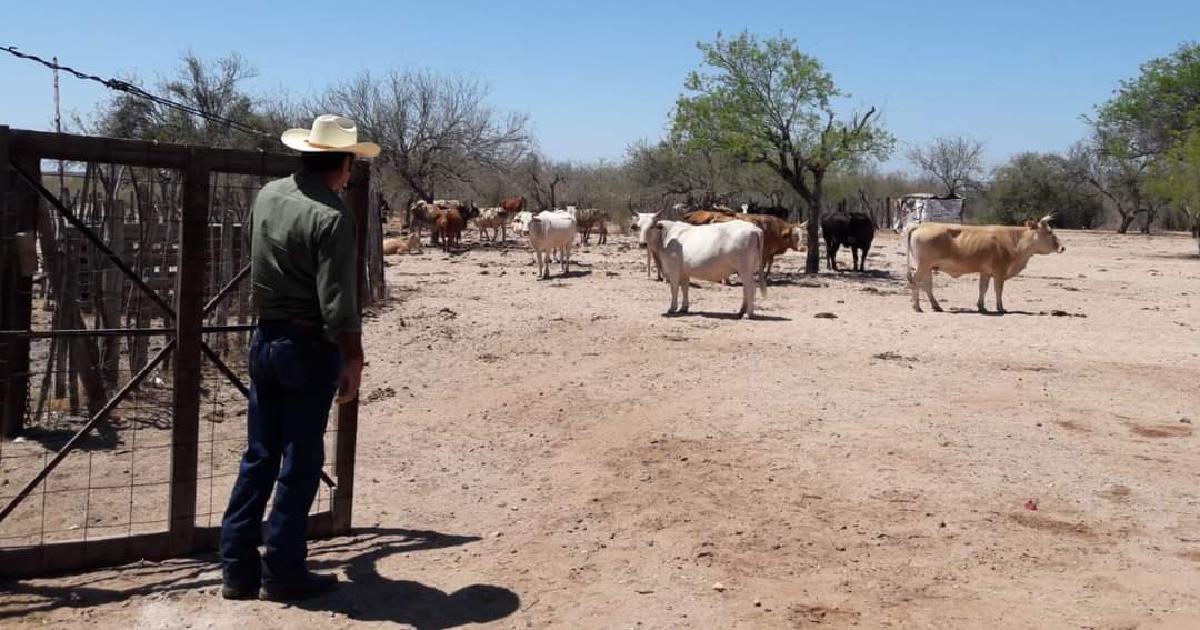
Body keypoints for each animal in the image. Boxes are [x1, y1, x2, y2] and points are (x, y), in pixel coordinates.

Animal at [907, 214, 1070, 312]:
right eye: (1049, 232)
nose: (1062, 247)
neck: (1015, 241)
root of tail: (922, 225)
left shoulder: (985, 271)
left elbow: (983, 289)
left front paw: (981, 307)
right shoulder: (999, 272)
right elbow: (998, 290)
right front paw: (1000, 308)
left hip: (928, 267)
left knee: (927, 285)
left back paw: (936, 306)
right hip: (923, 266)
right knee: (916, 282)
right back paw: (917, 306)